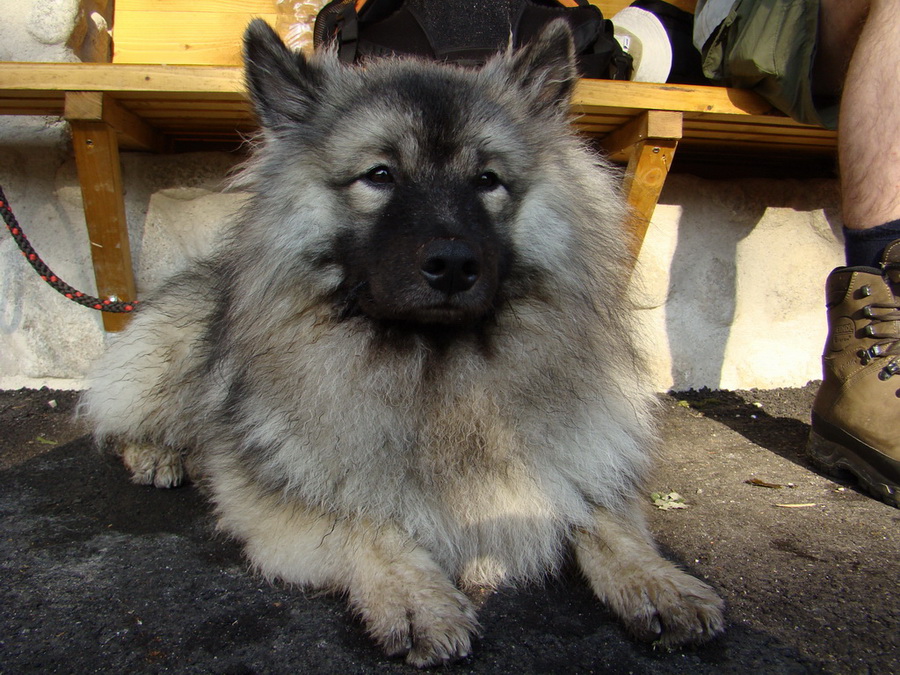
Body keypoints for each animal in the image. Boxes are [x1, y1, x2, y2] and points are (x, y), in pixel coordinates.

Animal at [77, 18, 724, 668]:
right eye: (380, 176)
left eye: (487, 180)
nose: (453, 263)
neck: (435, 368)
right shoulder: (282, 493)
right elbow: (362, 519)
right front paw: (416, 598)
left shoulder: (577, 458)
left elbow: (603, 513)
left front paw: (658, 580)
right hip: (175, 355)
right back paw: (159, 455)